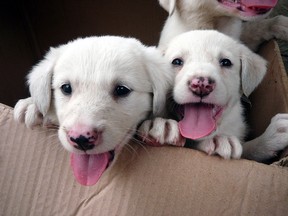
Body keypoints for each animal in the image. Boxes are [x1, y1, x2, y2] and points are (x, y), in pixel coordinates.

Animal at [141, 29, 288, 159]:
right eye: (176, 61)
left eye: (226, 62)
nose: (202, 85)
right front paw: (162, 125)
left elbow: (245, 150)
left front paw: (268, 138)